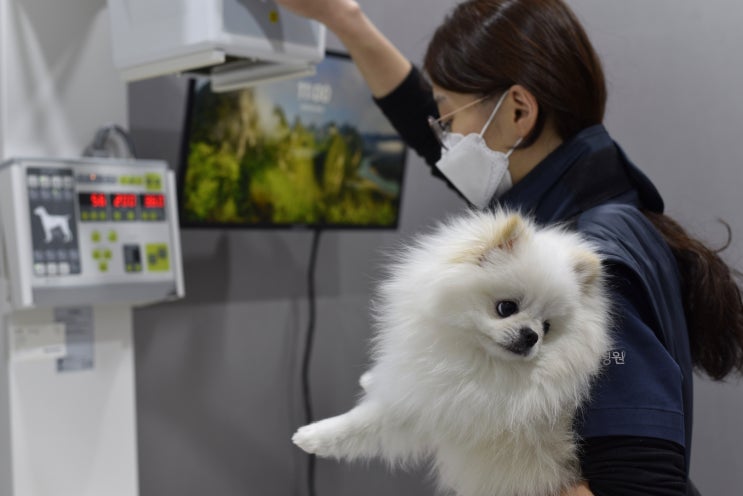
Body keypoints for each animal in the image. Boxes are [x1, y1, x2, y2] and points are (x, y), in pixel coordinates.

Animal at [294, 210, 612, 496]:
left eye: (547, 327)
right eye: (506, 307)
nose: (531, 336)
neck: (478, 360)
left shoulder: (447, 412)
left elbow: (368, 421)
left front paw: (311, 436)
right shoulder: (426, 394)